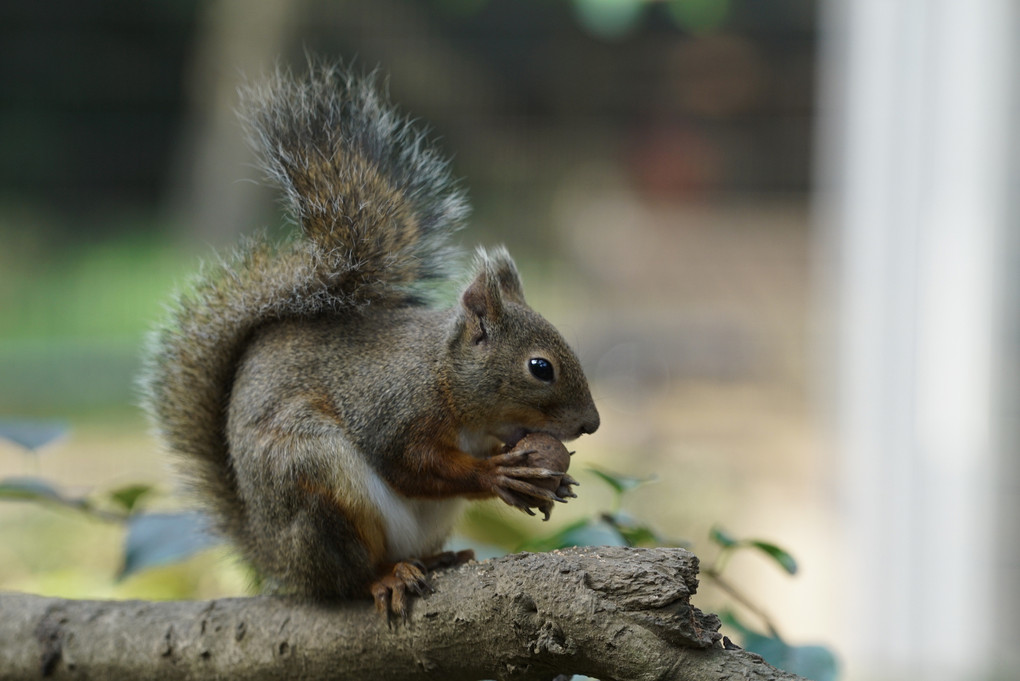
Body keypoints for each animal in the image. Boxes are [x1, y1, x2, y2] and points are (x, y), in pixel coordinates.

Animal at [136, 65, 595, 615]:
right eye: (540, 367)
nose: (591, 424)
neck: (444, 377)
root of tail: (277, 561)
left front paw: (552, 478)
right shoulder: (392, 411)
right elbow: (411, 466)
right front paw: (497, 475)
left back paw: (437, 559)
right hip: (315, 481)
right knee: (349, 575)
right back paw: (383, 577)